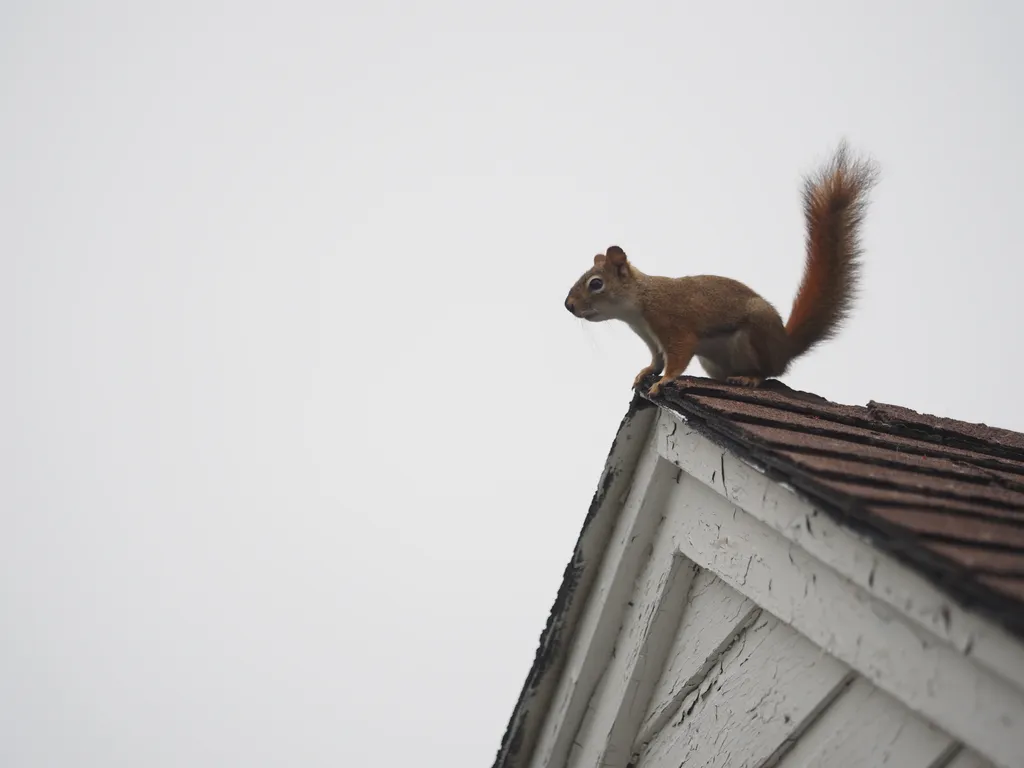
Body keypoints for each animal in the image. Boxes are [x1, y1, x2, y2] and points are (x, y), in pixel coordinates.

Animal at [565, 140, 876, 399]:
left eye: (596, 283)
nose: (568, 305)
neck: (640, 302)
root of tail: (785, 348)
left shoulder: (673, 325)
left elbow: (678, 357)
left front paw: (663, 381)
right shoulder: (652, 340)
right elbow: (657, 360)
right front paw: (645, 373)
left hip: (756, 335)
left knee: (768, 373)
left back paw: (750, 378)